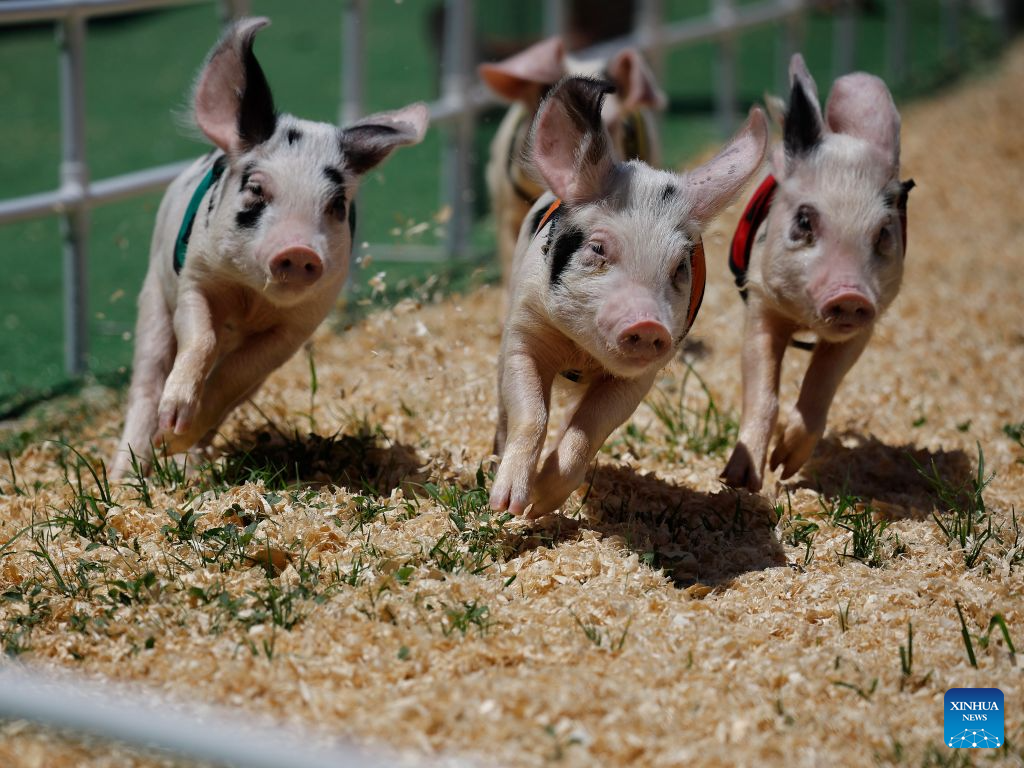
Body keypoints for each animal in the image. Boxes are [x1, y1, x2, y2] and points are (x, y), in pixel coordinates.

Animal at [110, 17, 428, 480]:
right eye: (257, 189)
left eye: (336, 205)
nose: (299, 249)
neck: (250, 299)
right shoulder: (195, 279)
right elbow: (201, 337)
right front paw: (171, 424)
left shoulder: (299, 326)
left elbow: (235, 375)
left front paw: (177, 438)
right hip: (152, 297)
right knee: (147, 380)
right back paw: (125, 475)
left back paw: (185, 461)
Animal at [490, 76, 768, 518]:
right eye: (598, 248)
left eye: (679, 267)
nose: (648, 322)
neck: (581, 355)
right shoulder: (523, 330)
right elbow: (531, 412)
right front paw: (508, 506)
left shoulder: (638, 378)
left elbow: (587, 432)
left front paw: (539, 504)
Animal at [721, 54, 913, 492]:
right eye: (804, 220)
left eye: (883, 232)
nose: (850, 294)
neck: (804, 320)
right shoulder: (760, 303)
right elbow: (763, 389)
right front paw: (740, 482)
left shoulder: (864, 325)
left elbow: (823, 382)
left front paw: (785, 466)